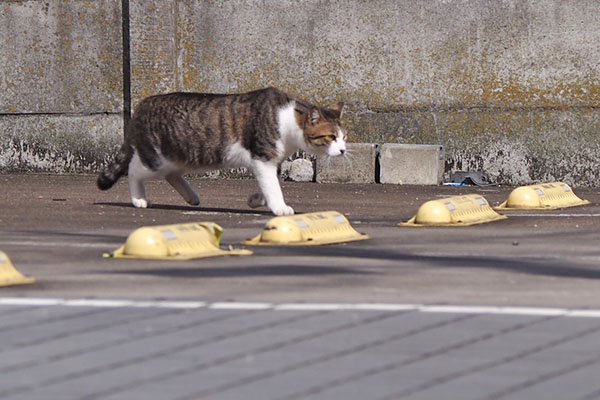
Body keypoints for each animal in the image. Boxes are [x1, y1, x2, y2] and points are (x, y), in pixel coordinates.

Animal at [97, 87, 346, 216]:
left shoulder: (271, 161)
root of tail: (142, 104)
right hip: (157, 158)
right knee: (133, 170)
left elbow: (269, 185)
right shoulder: (263, 158)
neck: (286, 119)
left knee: (172, 174)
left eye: (344, 137)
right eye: (331, 137)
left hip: (180, 155)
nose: (343, 150)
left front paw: (256, 199)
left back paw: (191, 197)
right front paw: (279, 207)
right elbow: (273, 187)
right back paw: (139, 198)